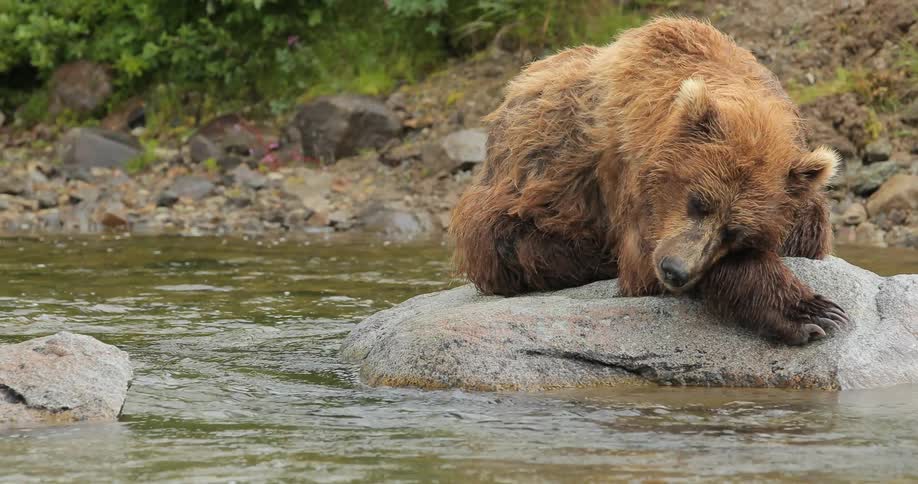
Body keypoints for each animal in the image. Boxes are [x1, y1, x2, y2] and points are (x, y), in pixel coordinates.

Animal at [449, 18, 850, 345]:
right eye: (698, 201)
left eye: (735, 232)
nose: (675, 271)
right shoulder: (631, 179)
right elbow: (644, 258)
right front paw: (811, 312)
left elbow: (807, 235)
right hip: (518, 188)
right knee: (511, 242)